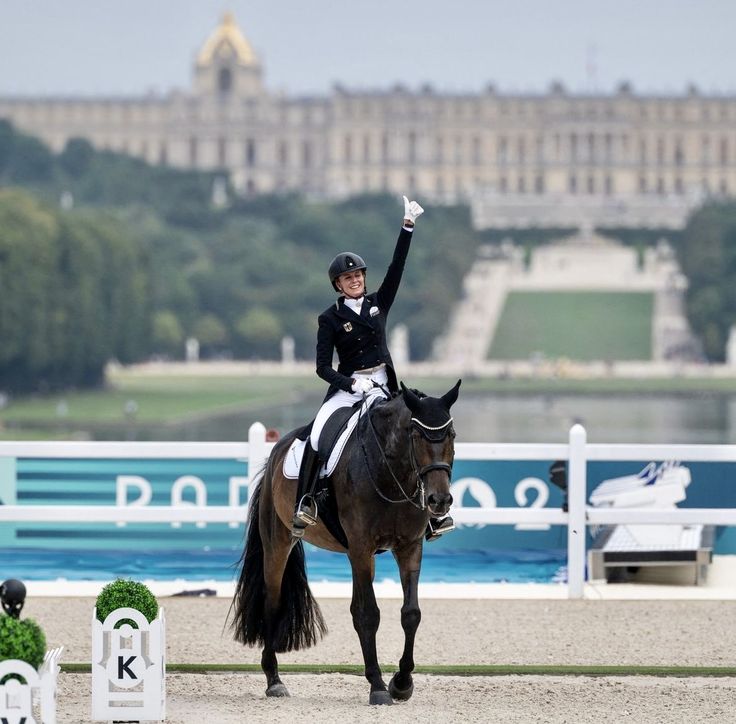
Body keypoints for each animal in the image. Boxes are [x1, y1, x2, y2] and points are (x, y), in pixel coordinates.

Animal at [230, 382, 460, 704]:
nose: (439, 501)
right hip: (278, 544)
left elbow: (410, 613)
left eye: (451, 435)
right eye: (416, 435)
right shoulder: (360, 549)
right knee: (272, 601)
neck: (390, 472)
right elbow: (368, 615)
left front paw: (402, 683)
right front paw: (378, 686)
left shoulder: (409, 547)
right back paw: (274, 680)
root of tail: (277, 450)